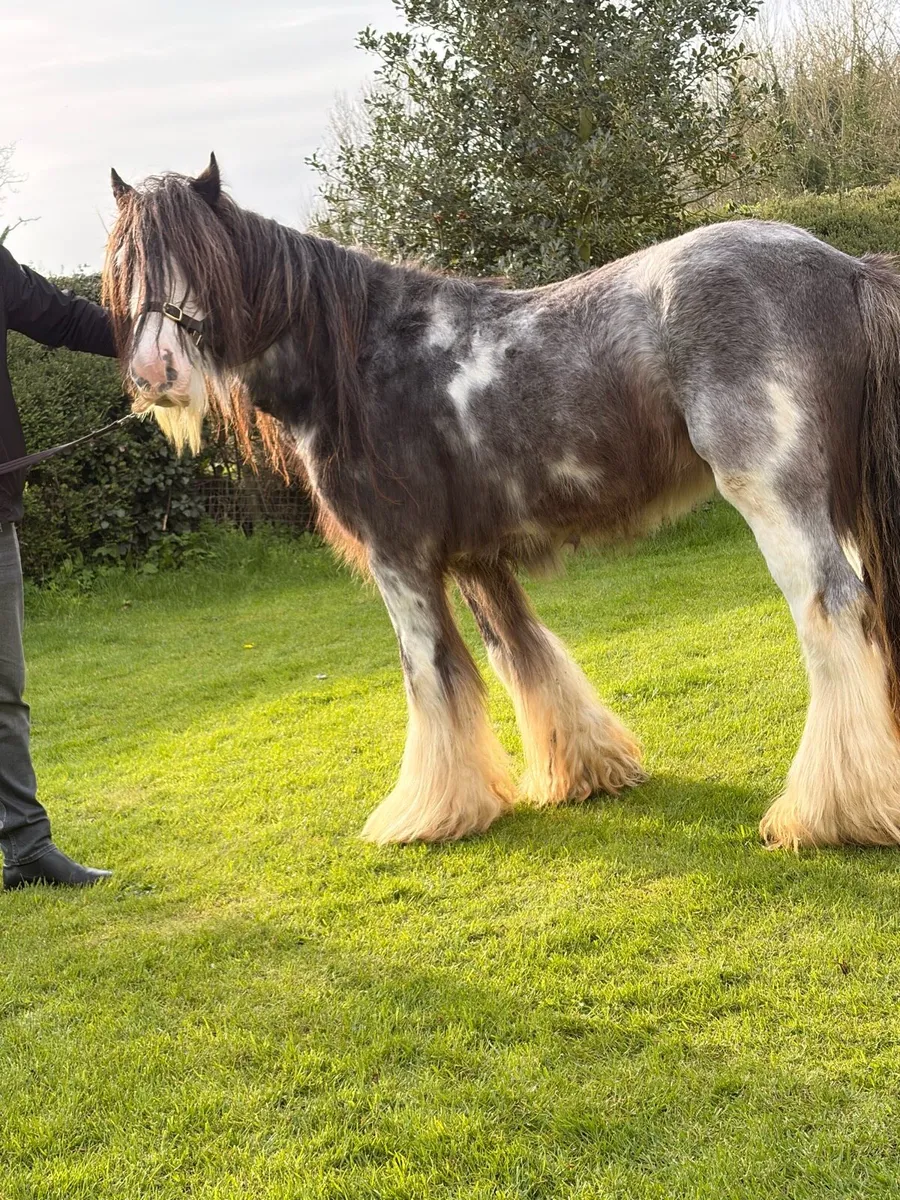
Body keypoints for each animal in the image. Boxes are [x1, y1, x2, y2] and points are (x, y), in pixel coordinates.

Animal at [102, 153, 900, 850]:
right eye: (126, 269)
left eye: (204, 259)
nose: (153, 373)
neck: (358, 362)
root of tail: (844, 268)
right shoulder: (476, 557)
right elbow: (522, 652)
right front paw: (586, 773)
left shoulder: (400, 559)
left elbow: (431, 672)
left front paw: (428, 812)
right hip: (840, 502)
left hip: (779, 499)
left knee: (832, 612)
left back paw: (829, 814)